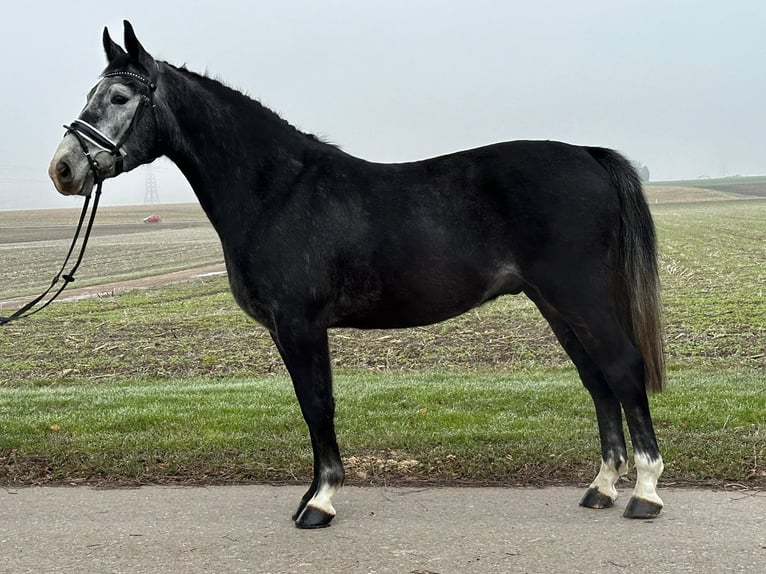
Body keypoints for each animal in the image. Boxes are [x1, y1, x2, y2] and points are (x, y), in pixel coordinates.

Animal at [48, 20, 664, 528]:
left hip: (581, 298)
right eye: (90, 95)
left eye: (120, 97)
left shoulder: (300, 325)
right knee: (597, 381)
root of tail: (586, 154)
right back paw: (602, 488)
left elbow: (317, 404)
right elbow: (312, 406)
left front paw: (320, 502)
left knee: (622, 368)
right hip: (556, 304)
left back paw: (645, 493)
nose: (63, 169)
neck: (277, 190)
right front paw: (311, 495)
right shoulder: (290, 330)